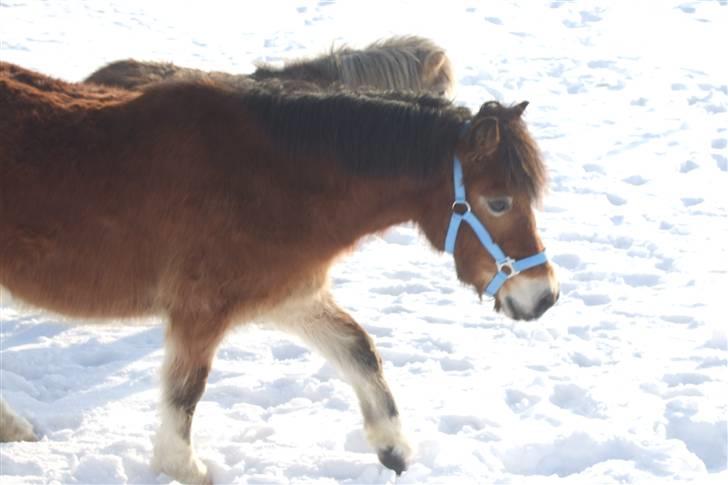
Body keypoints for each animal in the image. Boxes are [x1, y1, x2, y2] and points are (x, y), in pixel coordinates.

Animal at [0, 62, 556, 482]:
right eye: (499, 201)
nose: (544, 296)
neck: (272, 178)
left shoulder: (292, 297)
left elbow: (359, 351)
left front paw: (393, 448)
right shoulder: (200, 312)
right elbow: (185, 394)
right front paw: (184, 468)